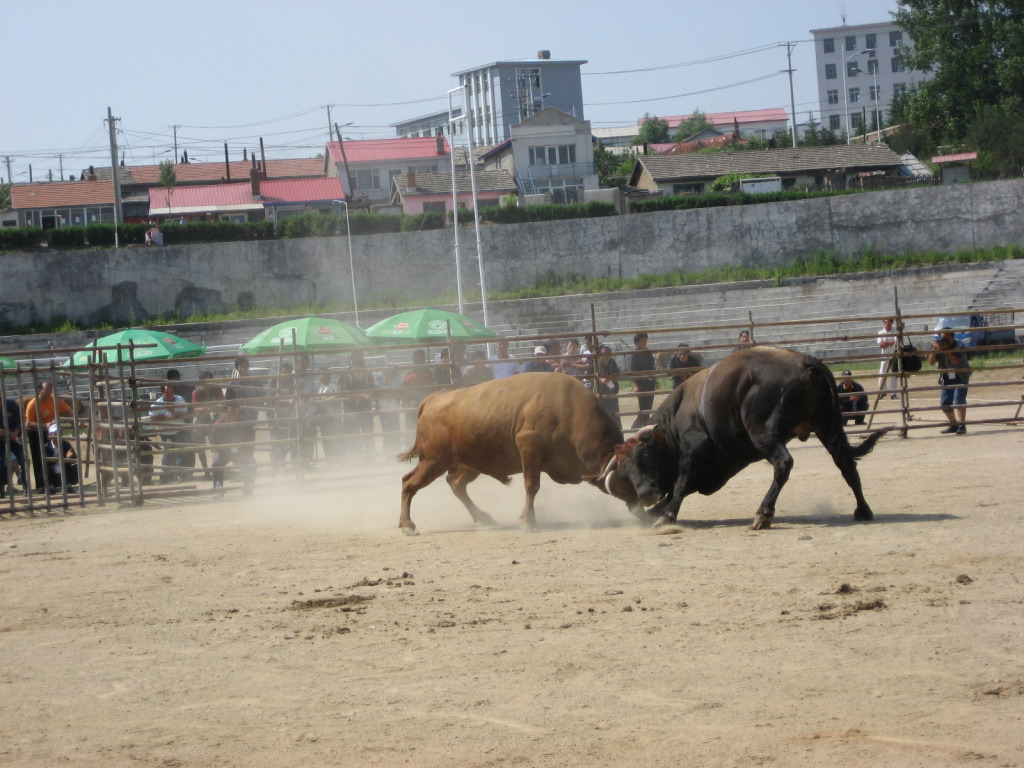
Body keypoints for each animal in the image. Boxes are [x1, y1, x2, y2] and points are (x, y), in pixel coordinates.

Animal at [395, 372, 634, 536]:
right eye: (622, 484)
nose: (641, 507)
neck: (568, 410)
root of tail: (433, 398)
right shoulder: (529, 447)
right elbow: (532, 485)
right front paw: (528, 522)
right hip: (434, 461)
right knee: (409, 483)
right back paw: (408, 525)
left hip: (469, 463)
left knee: (456, 484)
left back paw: (484, 517)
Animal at [593, 348, 888, 528]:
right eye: (626, 473)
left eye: (644, 455)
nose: (645, 495)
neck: (674, 423)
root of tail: (807, 362)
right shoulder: (714, 466)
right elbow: (682, 487)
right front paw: (654, 512)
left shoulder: (694, 448)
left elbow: (681, 482)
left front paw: (665, 516)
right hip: (827, 426)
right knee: (846, 464)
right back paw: (863, 510)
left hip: (765, 432)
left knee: (783, 463)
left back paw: (763, 513)